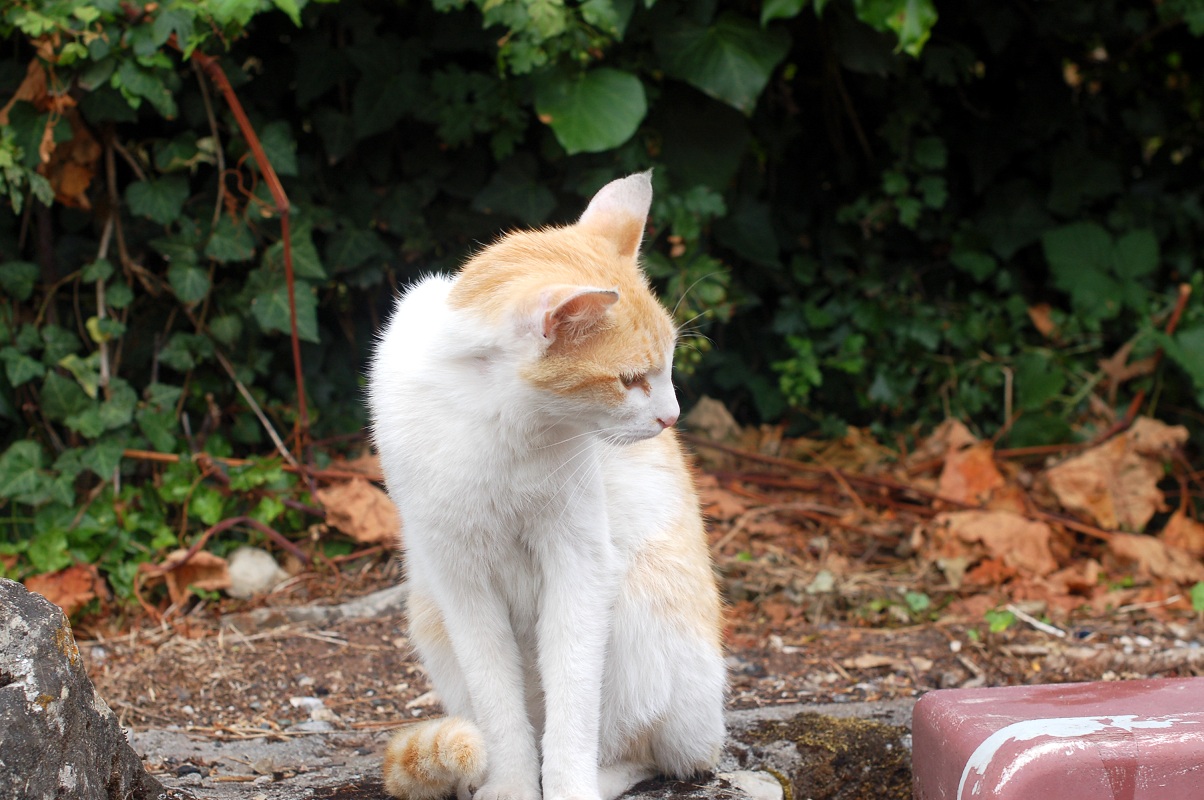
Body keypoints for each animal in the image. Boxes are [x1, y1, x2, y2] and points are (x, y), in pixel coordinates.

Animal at [366, 172, 722, 800]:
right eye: (631, 380)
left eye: (668, 368)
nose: (671, 417)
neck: (498, 424)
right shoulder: (460, 581)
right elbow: (499, 709)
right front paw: (510, 786)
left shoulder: (578, 563)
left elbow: (574, 708)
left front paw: (566, 788)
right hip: (430, 614)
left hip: (639, 608)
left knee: (646, 749)